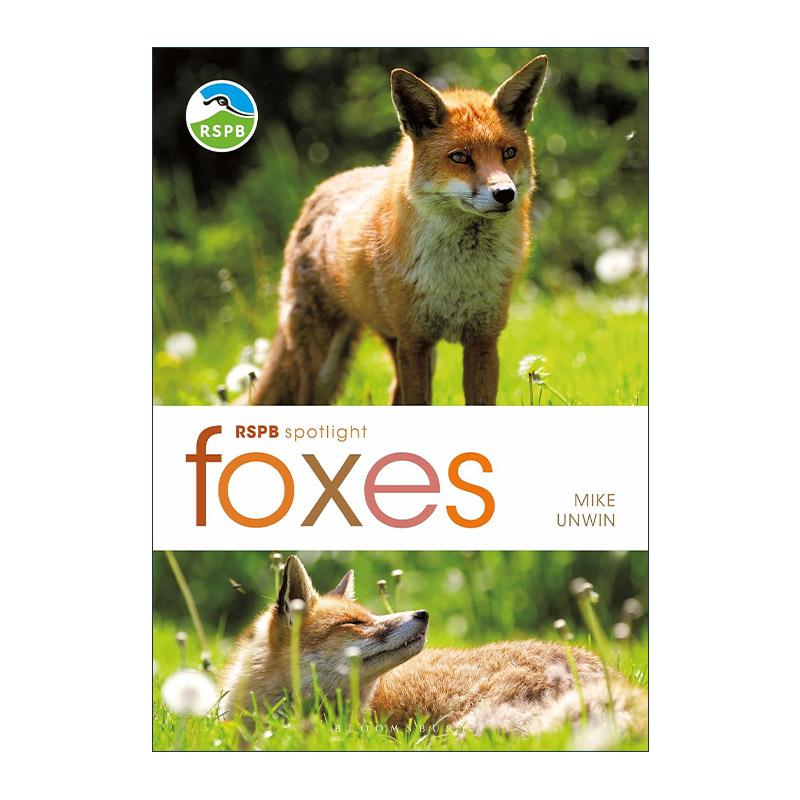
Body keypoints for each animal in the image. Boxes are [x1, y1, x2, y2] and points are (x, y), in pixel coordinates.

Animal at [247, 56, 549, 406]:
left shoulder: (483, 340)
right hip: (325, 363)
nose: (505, 193)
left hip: (399, 348)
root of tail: (325, 186)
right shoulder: (415, 341)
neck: (458, 276)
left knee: (393, 394)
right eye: (460, 157)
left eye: (508, 153)